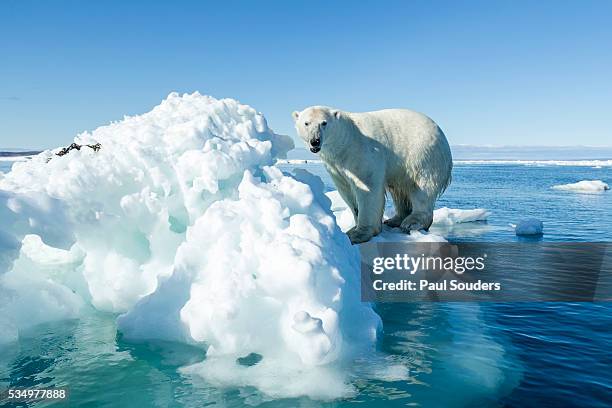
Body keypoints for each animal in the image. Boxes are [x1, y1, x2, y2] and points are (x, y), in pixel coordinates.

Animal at [294, 107, 452, 244]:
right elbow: (347, 192)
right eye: (306, 123)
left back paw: (412, 222)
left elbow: (368, 188)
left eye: (324, 123)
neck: (346, 139)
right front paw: (354, 225)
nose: (315, 141)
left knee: (421, 187)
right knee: (399, 191)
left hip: (422, 155)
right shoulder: (335, 166)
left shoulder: (362, 153)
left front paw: (358, 233)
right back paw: (394, 220)